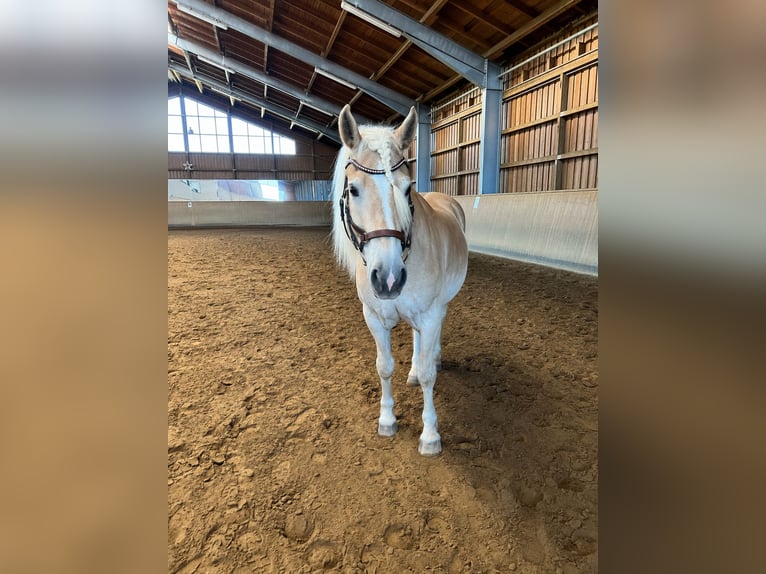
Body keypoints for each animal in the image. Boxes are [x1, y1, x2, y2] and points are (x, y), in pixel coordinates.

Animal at [332, 104, 468, 456]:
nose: (389, 279)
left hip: (441, 306)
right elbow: (384, 366)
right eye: (353, 190)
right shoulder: (374, 317)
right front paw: (387, 420)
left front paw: (430, 436)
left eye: (407, 189)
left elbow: (429, 375)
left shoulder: (430, 314)